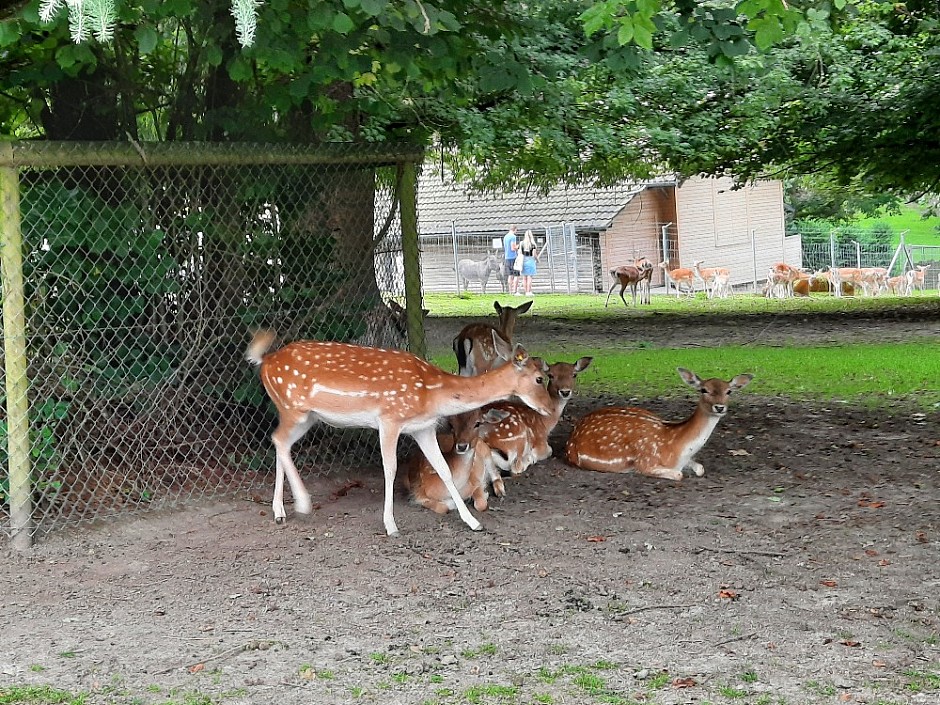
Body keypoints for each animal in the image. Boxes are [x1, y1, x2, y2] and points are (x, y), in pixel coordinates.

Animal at [244, 330, 552, 532]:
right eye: (540, 378)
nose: (548, 409)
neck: (432, 393)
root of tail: (265, 361)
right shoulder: (389, 419)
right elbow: (390, 468)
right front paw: (390, 524)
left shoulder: (423, 427)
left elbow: (443, 468)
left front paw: (473, 522)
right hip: (292, 408)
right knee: (278, 439)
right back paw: (303, 504)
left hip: (305, 416)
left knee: (281, 443)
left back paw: (280, 511)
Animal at [560, 368, 752, 478]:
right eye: (703, 390)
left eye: (729, 391)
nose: (719, 407)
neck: (677, 450)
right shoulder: (646, 462)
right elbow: (679, 475)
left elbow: (700, 469)